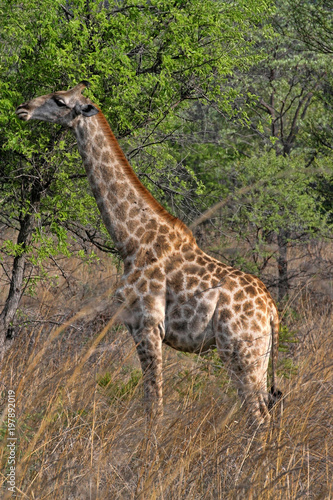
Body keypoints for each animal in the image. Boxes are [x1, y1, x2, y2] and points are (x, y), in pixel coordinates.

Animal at [15, 82, 280, 426]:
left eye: (60, 101)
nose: (22, 109)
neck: (131, 239)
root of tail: (272, 312)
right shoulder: (132, 324)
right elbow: (150, 401)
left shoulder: (148, 324)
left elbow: (154, 405)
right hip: (257, 355)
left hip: (240, 351)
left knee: (258, 416)